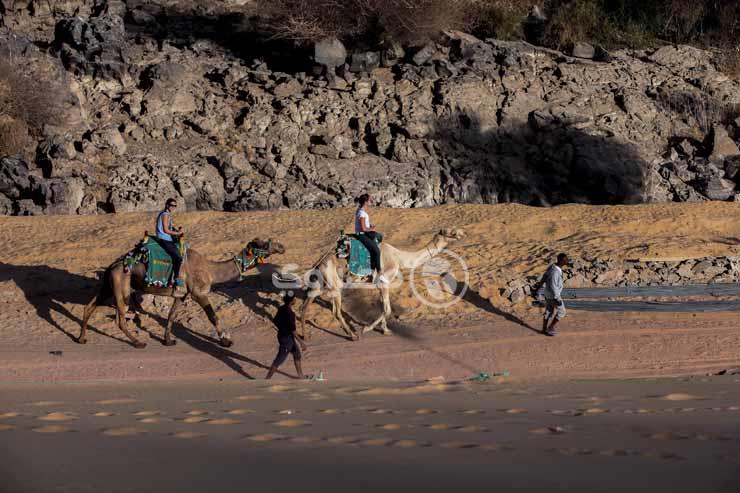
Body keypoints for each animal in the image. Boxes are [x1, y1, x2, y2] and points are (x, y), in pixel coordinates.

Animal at [80, 237, 284, 346]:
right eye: (262, 245)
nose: (282, 246)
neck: (210, 270)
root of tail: (112, 266)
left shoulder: (181, 295)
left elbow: (171, 316)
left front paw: (168, 340)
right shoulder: (198, 293)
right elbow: (213, 316)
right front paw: (226, 341)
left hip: (110, 285)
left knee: (90, 306)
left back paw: (81, 339)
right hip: (122, 285)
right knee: (119, 318)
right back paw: (138, 343)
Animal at [300, 229, 462, 340]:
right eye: (450, 232)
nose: (460, 234)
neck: (398, 257)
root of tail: (320, 262)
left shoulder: (380, 284)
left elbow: (385, 307)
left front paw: (385, 330)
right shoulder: (384, 282)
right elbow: (387, 309)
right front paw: (366, 329)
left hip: (322, 284)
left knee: (306, 303)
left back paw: (305, 337)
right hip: (334, 285)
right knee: (336, 311)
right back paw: (353, 336)